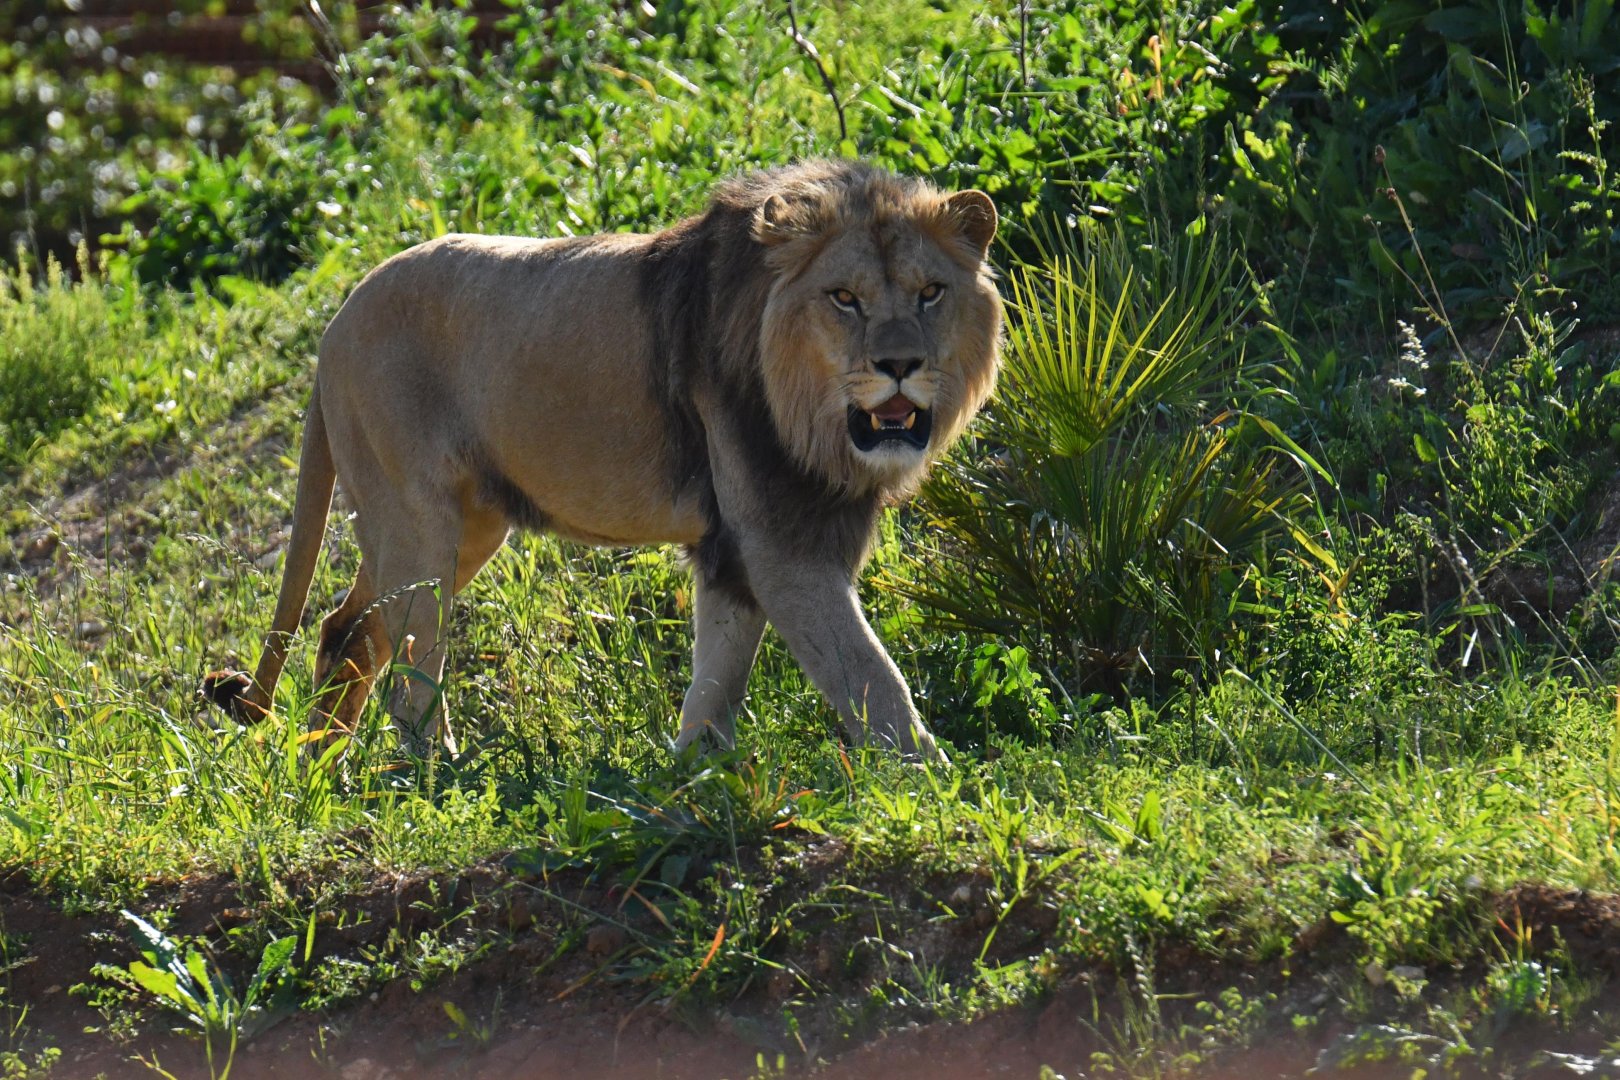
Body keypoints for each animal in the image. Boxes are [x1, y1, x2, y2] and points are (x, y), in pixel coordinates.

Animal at [201, 159, 1001, 760]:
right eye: (844, 299)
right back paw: (437, 775)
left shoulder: (735, 549)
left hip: (461, 525)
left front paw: (695, 777)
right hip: (417, 521)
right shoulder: (782, 542)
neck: (815, 418)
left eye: (931, 293)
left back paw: (321, 773)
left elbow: (717, 677)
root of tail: (335, 322)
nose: (900, 365)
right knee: (410, 664)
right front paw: (940, 782)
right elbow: (867, 675)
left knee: (349, 630)